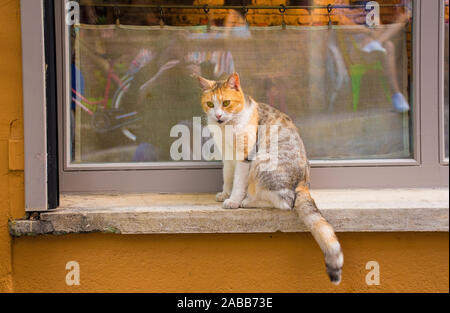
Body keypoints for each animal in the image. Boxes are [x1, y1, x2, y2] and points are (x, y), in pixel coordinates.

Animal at [198, 72, 344, 284]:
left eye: (226, 103)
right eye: (210, 104)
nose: (217, 116)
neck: (227, 129)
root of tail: (303, 183)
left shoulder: (245, 156)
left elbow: (238, 182)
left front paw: (233, 200)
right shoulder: (227, 156)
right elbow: (227, 176)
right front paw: (225, 193)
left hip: (262, 161)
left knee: (284, 201)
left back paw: (248, 202)